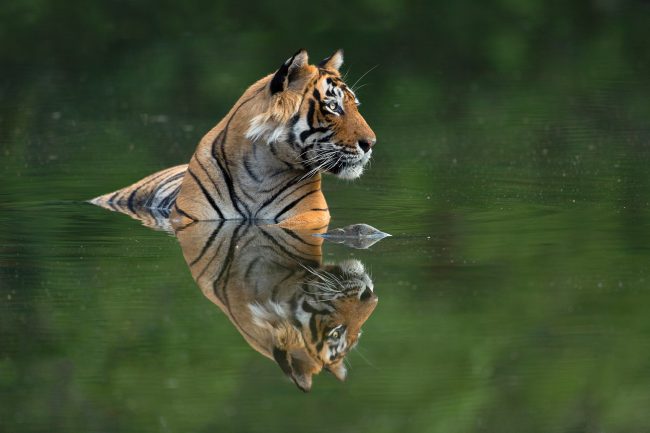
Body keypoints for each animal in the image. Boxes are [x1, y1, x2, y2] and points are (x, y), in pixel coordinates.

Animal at [91, 49, 376, 230]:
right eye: (333, 107)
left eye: (355, 105)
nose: (371, 143)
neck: (262, 172)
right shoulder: (194, 218)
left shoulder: (309, 217)